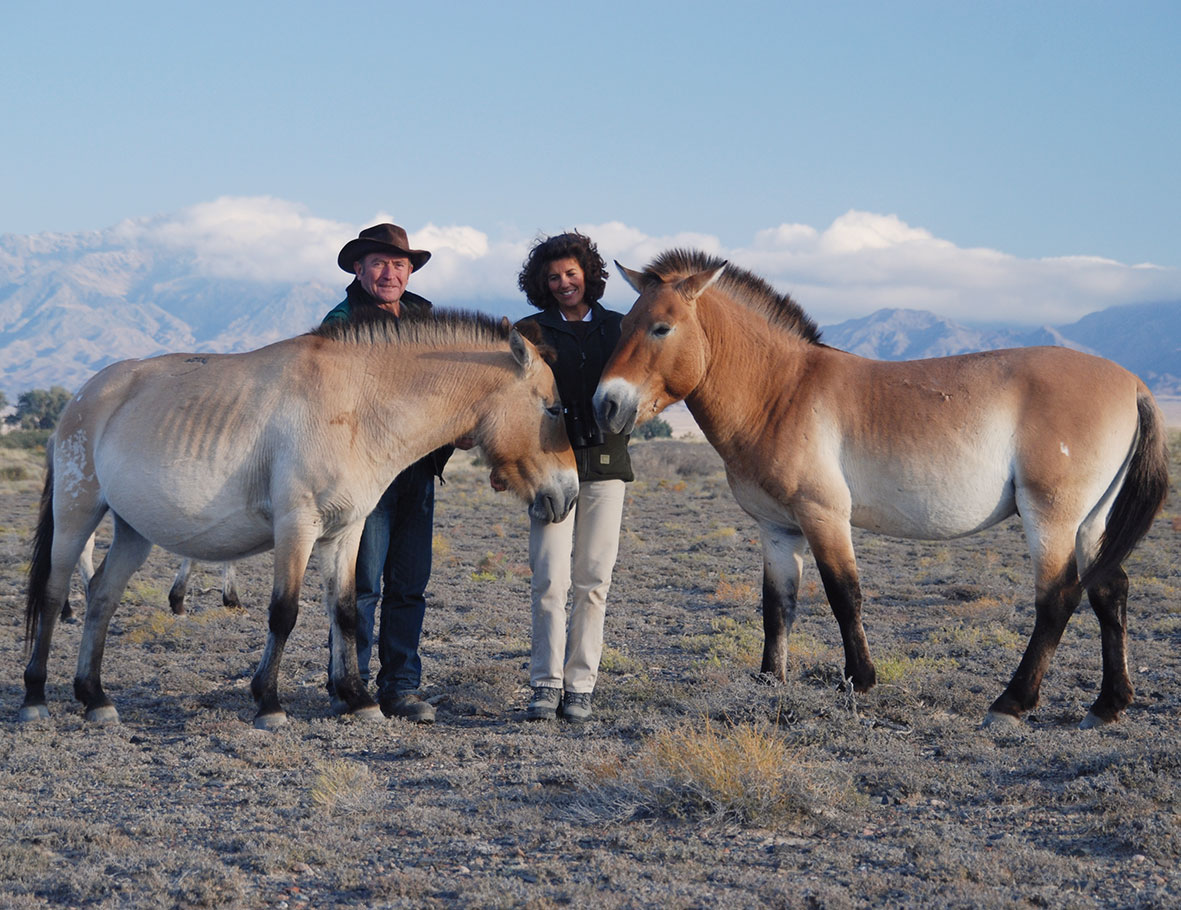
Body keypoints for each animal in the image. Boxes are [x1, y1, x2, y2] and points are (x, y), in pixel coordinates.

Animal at [21, 309, 576, 731]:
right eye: (552, 408)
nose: (567, 495)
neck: (358, 403)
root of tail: (81, 398)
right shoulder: (297, 527)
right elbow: (284, 613)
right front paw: (268, 703)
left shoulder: (345, 532)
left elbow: (346, 612)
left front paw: (358, 698)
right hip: (77, 512)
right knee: (53, 595)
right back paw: (35, 698)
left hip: (133, 532)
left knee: (101, 598)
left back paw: (95, 698)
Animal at [595, 251, 1166, 731]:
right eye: (621, 325)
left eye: (662, 327)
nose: (606, 404)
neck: (780, 391)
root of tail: (1132, 382)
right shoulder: (777, 528)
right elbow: (777, 605)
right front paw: (768, 681)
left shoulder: (823, 516)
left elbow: (844, 595)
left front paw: (860, 680)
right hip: (1091, 522)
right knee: (1109, 591)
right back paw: (1108, 704)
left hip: (1051, 517)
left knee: (1058, 599)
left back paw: (1012, 703)